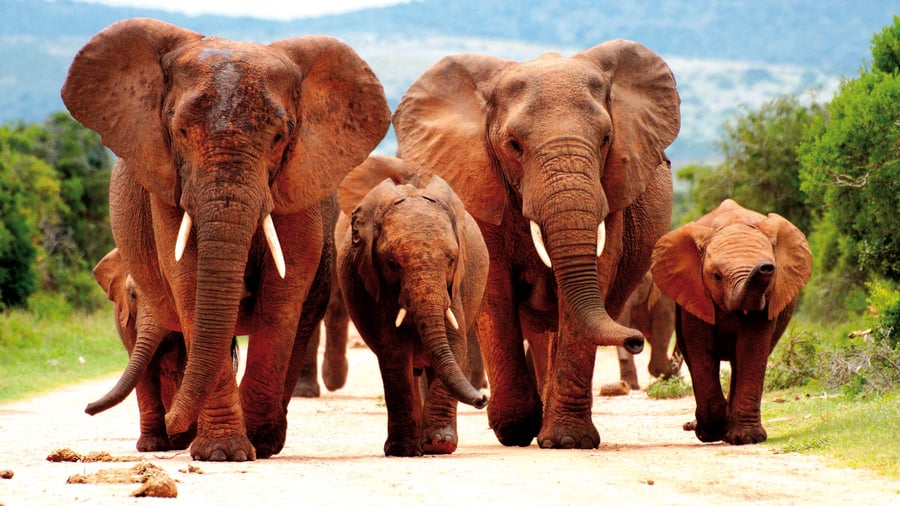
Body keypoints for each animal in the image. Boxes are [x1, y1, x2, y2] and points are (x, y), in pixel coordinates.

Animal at [61, 18, 390, 461]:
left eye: (280, 137)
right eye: (180, 131)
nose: (85, 409)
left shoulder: (297, 184)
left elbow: (282, 295)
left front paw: (254, 444)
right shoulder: (168, 183)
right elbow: (189, 283)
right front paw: (222, 453)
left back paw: (263, 437)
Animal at [336, 155, 489, 456]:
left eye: (451, 260)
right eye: (392, 263)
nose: (483, 398)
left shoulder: (456, 286)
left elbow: (454, 341)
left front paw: (439, 444)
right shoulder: (375, 284)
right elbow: (393, 350)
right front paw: (403, 449)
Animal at [392, 39, 680, 448]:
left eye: (606, 139)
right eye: (514, 145)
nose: (636, 340)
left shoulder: (613, 192)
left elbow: (594, 276)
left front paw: (567, 441)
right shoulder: (479, 183)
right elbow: (495, 288)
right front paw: (514, 429)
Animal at [650, 199, 812, 444]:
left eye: (772, 273)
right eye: (717, 276)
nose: (765, 267)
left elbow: (751, 349)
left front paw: (746, 438)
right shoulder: (694, 293)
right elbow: (700, 350)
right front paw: (709, 433)